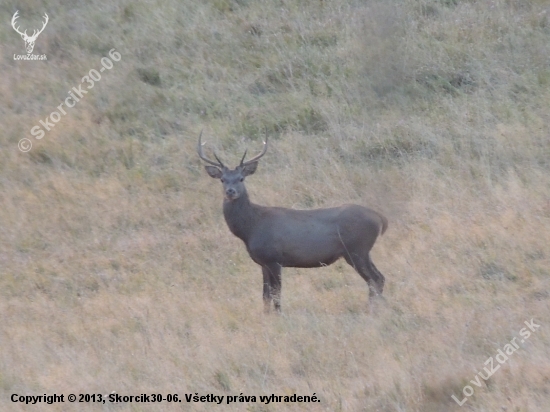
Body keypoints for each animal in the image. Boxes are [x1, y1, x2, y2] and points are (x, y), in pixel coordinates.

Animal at [198, 133, 388, 312]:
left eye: (241, 178)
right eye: (222, 179)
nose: (230, 191)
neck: (250, 229)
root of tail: (379, 217)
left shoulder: (274, 258)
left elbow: (276, 294)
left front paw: (279, 316)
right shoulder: (263, 262)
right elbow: (265, 295)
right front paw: (266, 316)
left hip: (356, 249)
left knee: (374, 279)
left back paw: (372, 310)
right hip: (362, 251)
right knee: (379, 277)